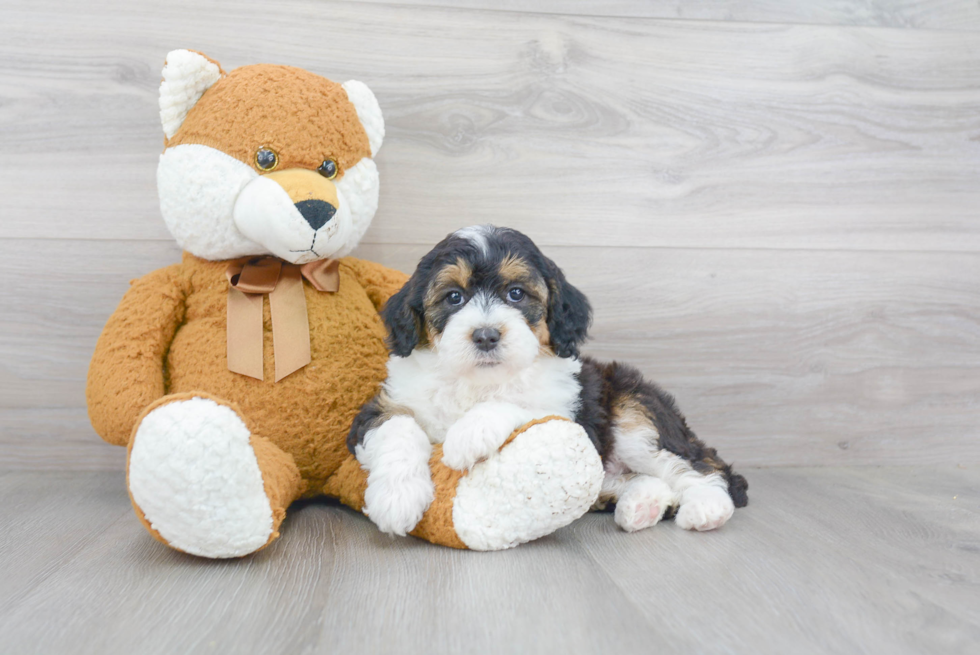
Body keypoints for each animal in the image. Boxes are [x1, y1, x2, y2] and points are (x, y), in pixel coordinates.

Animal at [348, 226, 748, 540]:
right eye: (454, 297)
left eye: (516, 293)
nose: (486, 335)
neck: (479, 380)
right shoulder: (382, 406)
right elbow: (398, 427)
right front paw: (397, 498)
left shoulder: (566, 411)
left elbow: (522, 405)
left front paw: (469, 434)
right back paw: (641, 504)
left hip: (633, 415)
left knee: (697, 464)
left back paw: (707, 506)